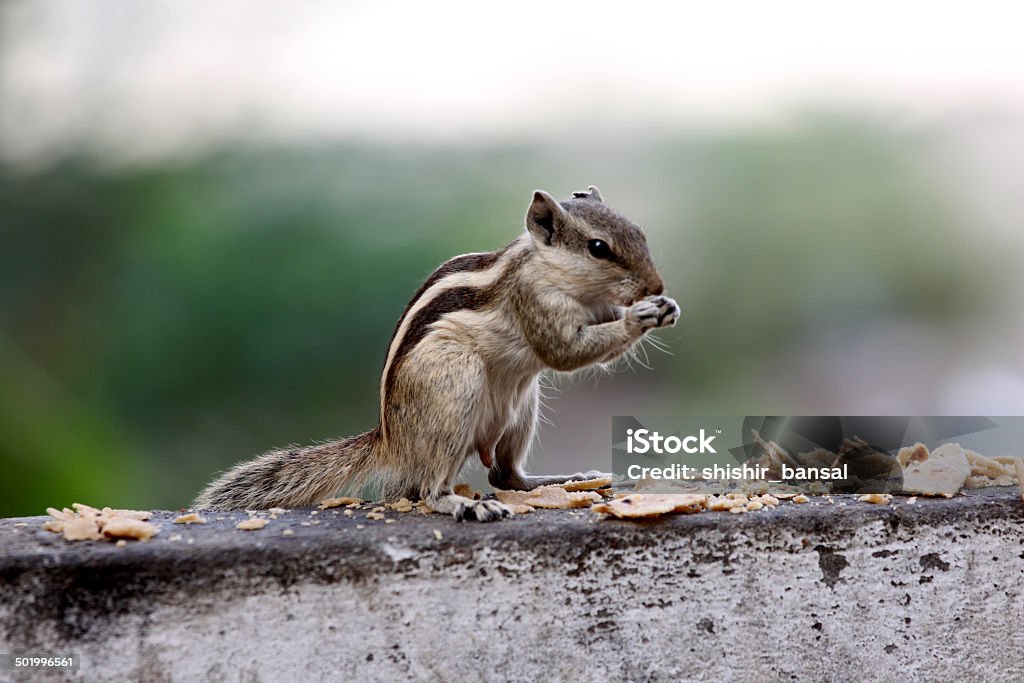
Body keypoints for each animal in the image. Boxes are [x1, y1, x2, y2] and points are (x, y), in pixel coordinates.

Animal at [197, 184, 679, 520]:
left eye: (639, 233)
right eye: (599, 248)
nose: (655, 286)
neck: (551, 271)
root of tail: (390, 440)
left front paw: (663, 308)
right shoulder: (533, 302)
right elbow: (564, 353)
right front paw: (639, 316)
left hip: (521, 408)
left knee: (505, 475)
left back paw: (563, 480)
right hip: (455, 387)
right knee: (430, 489)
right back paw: (463, 504)